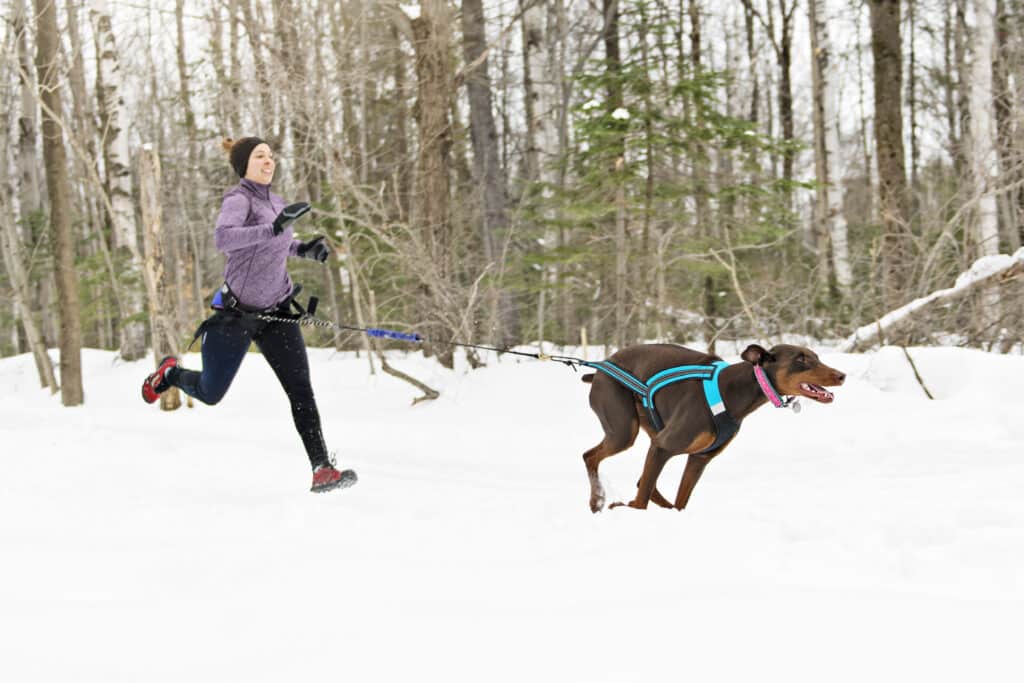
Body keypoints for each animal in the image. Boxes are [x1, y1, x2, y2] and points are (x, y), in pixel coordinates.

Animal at [581, 344, 843, 509]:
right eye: (800, 359)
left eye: (816, 356)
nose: (842, 375)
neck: (733, 391)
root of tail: (599, 371)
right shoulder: (664, 446)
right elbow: (642, 503)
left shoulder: (699, 458)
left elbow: (681, 502)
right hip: (624, 430)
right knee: (591, 456)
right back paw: (597, 501)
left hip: (649, 424)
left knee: (641, 481)